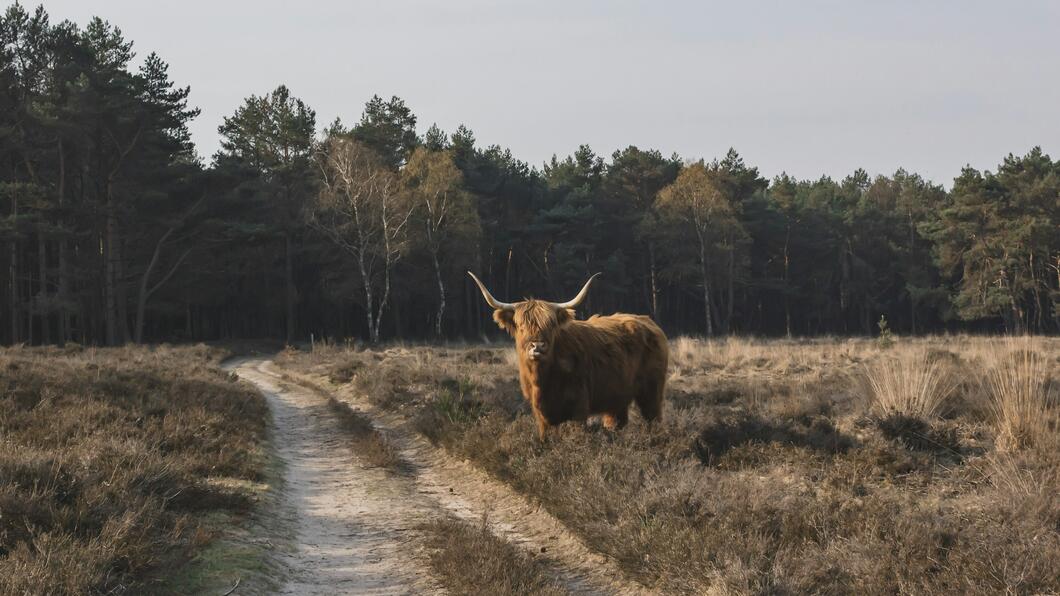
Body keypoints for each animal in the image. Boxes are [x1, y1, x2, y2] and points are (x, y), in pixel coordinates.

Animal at [468, 270, 665, 436]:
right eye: (522, 326)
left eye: (550, 325)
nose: (538, 346)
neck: (543, 379)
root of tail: (648, 321)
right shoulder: (541, 415)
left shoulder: (579, 408)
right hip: (617, 397)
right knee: (617, 421)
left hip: (651, 391)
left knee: (653, 418)